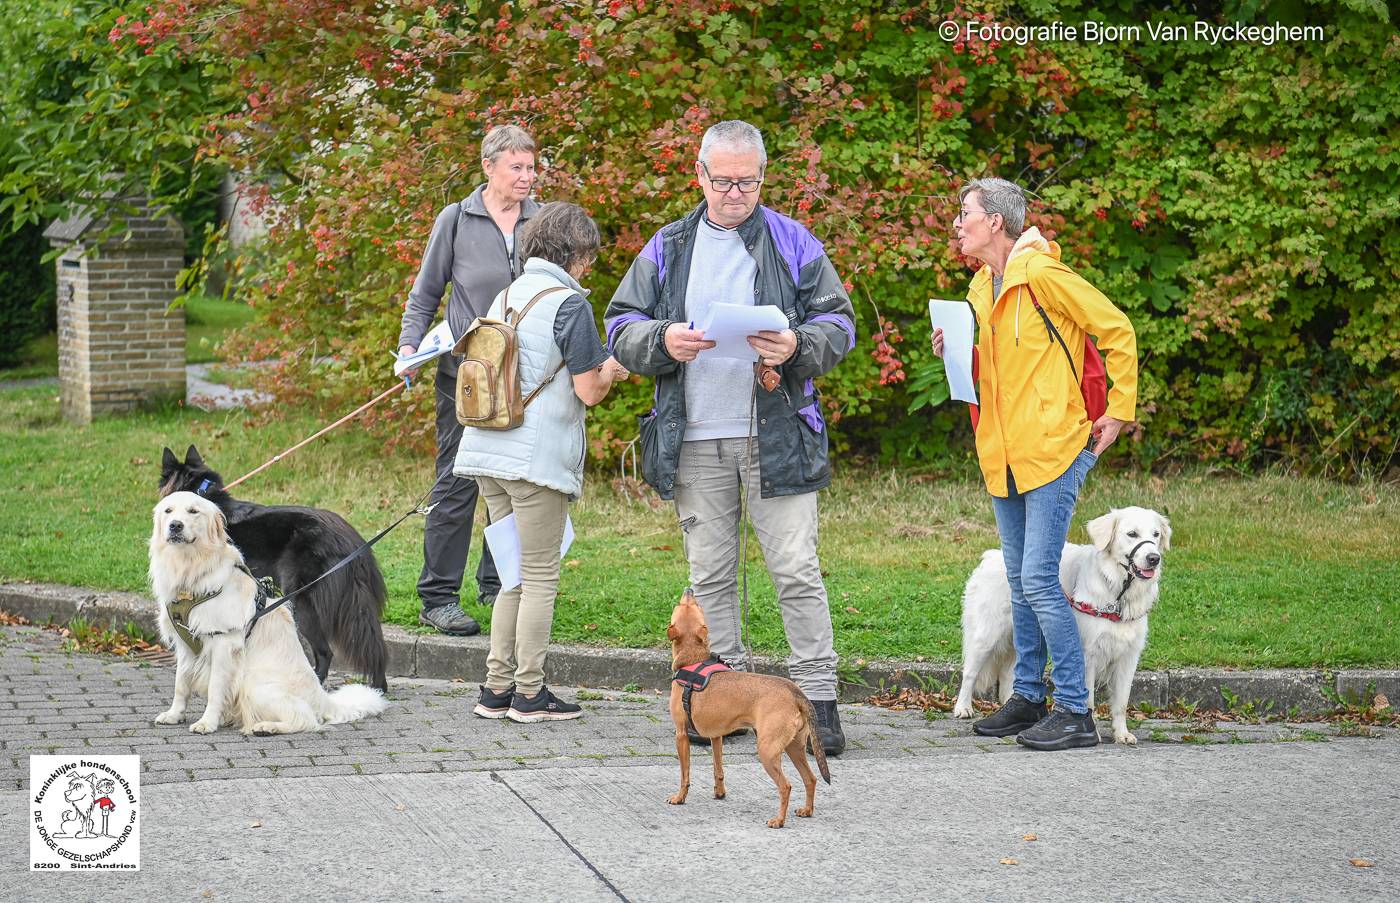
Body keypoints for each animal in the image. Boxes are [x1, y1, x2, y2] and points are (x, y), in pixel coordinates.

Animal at [660, 588, 823, 828]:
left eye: (682, 606)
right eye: (694, 605)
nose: (689, 590)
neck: (693, 659)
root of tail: (795, 691)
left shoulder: (681, 734)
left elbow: (685, 774)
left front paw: (680, 797)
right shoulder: (716, 736)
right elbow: (718, 768)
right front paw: (719, 793)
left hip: (768, 751)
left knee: (786, 786)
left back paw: (778, 820)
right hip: (795, 747)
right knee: (810, 779)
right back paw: (807, 810)